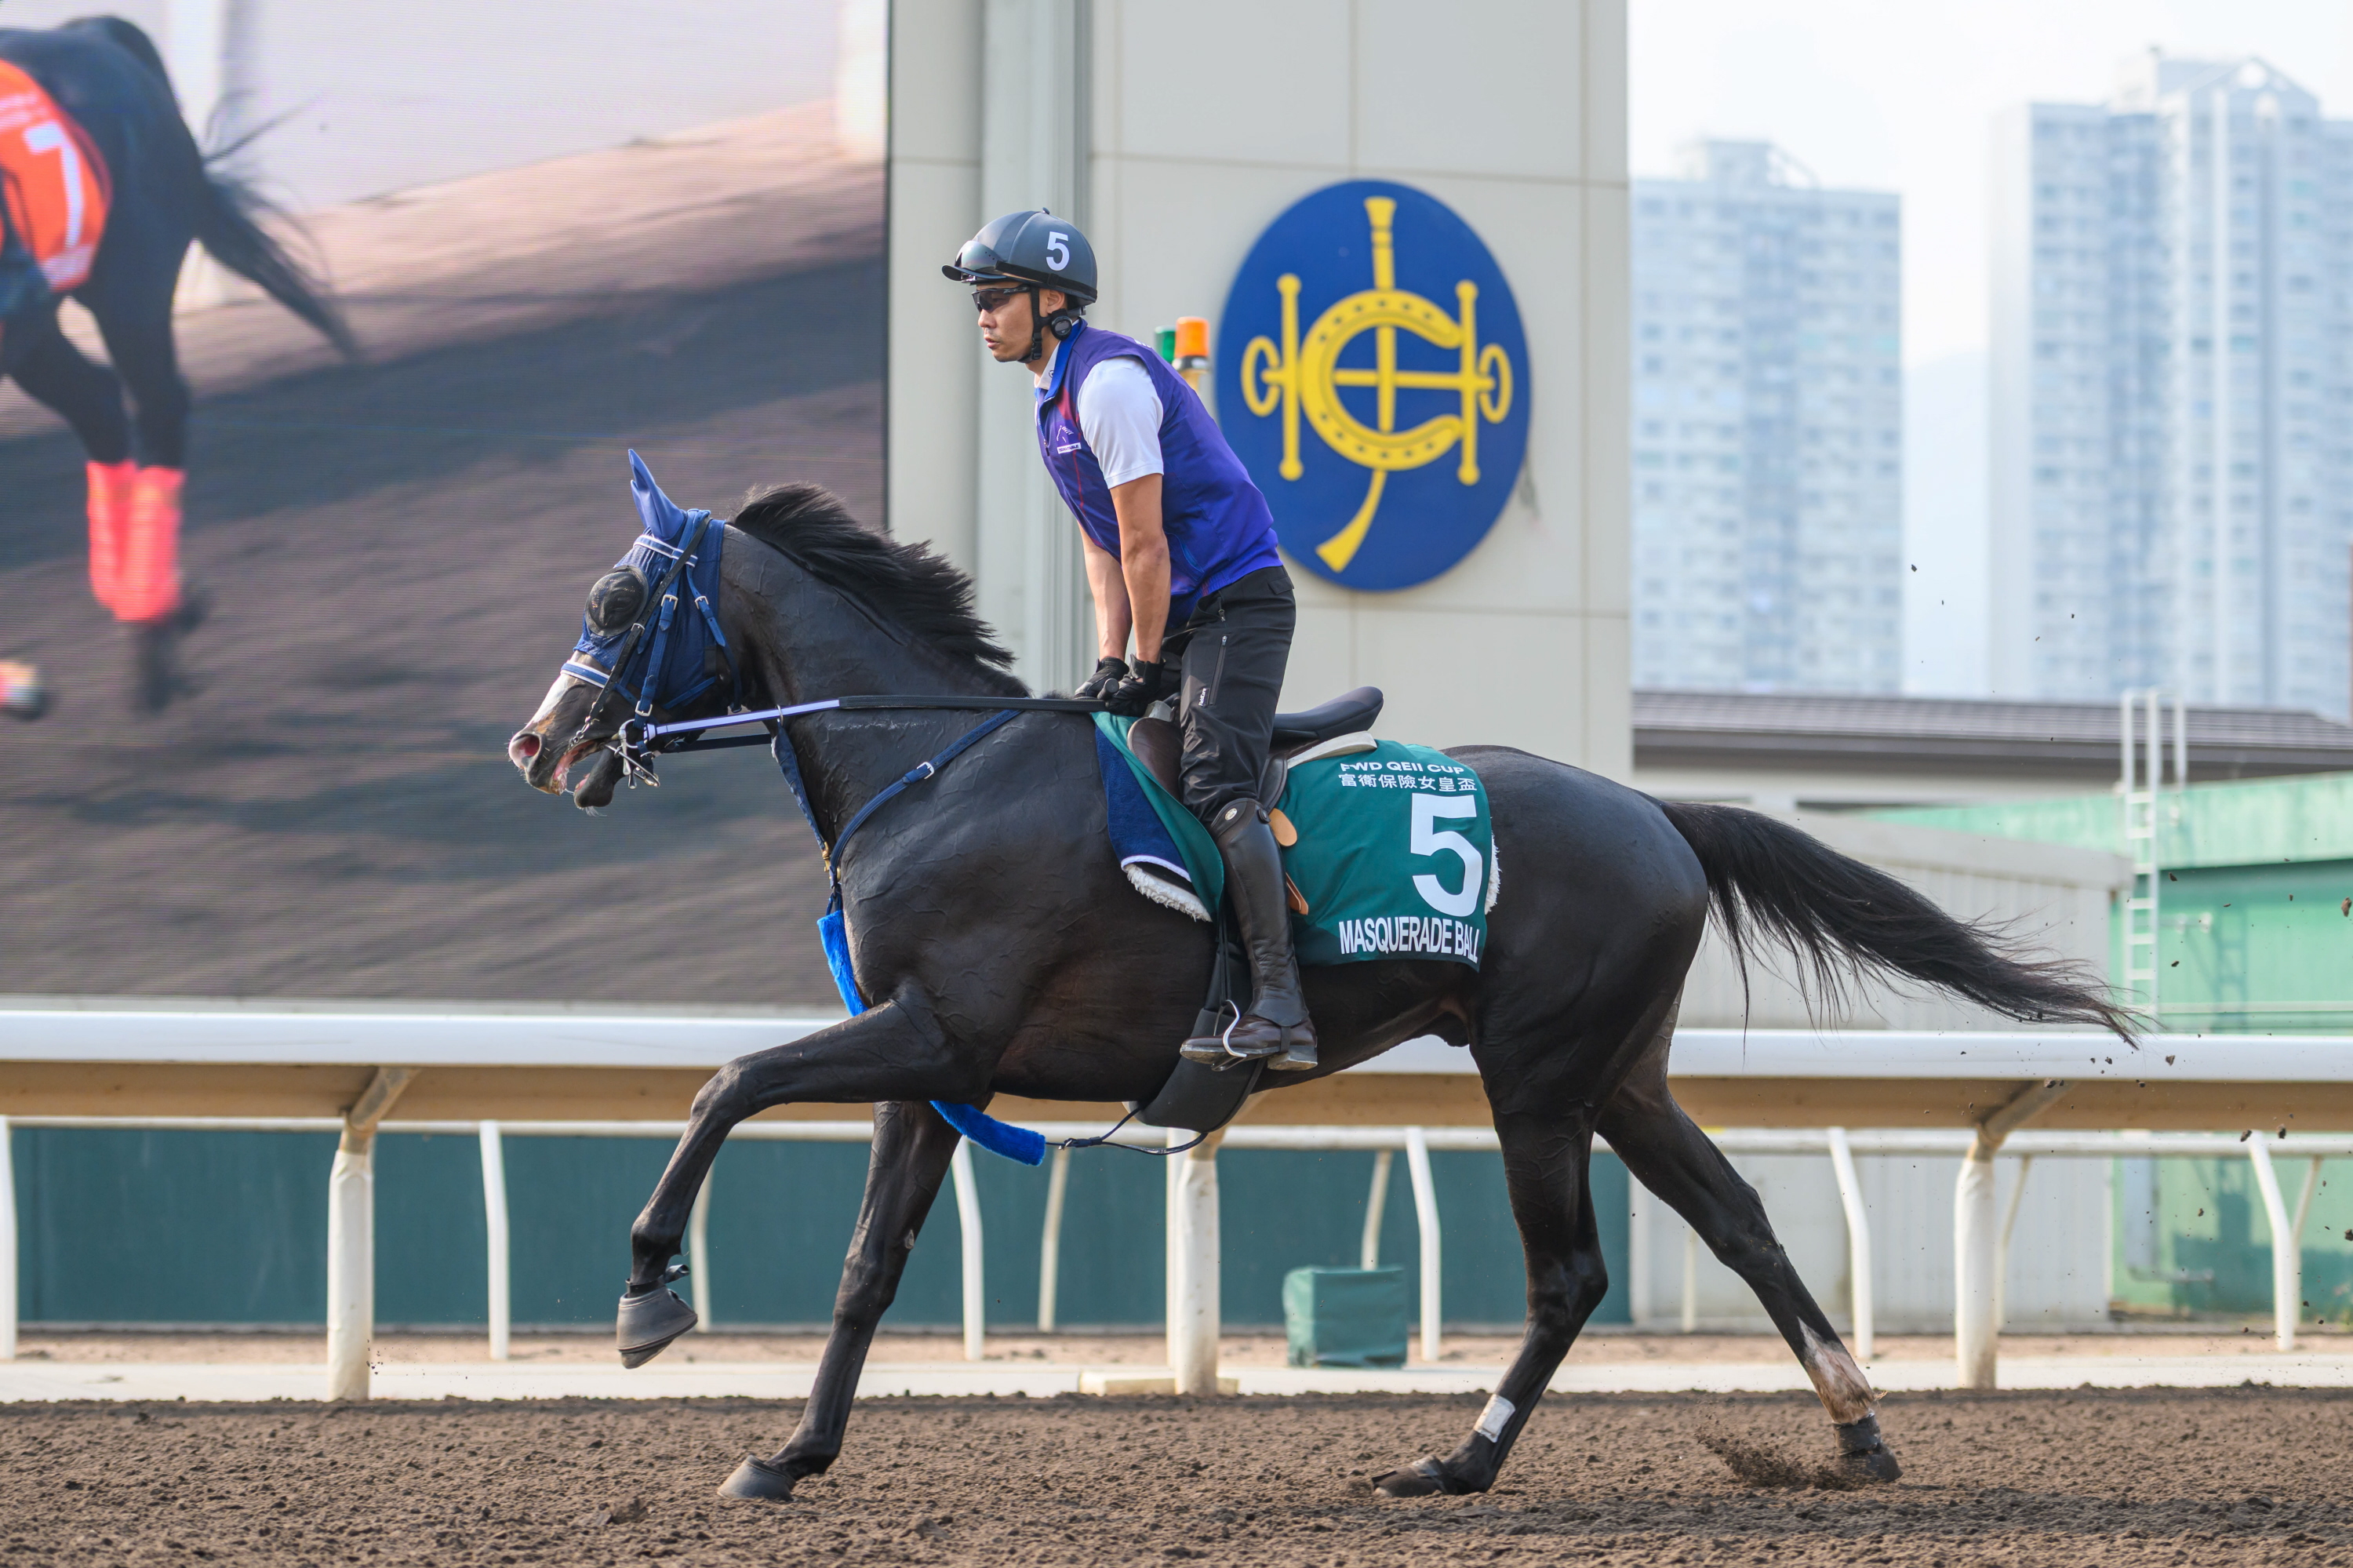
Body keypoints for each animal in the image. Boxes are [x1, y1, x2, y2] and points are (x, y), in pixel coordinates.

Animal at [0, 16, 352, 709]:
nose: (19, 283)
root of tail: (94, 34)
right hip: (37, 336)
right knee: (100, 404)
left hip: (127, 289)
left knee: (157, 406)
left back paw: (151, 618)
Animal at [507, 462, 2133, 1503]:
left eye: (616, 598)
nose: (538, 745)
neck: (935, 764)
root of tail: (1657, 810)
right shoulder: (938, 1062)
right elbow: (861, 1267)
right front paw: (790, 1452)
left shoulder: (930, 1029)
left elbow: (729, 1082)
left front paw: (648, 1292)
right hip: (1621, 1070)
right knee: (1738, 1222)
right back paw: (1855, 1433)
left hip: (1536, 1074)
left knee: (1570, 1273)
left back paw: (1458, 1458)